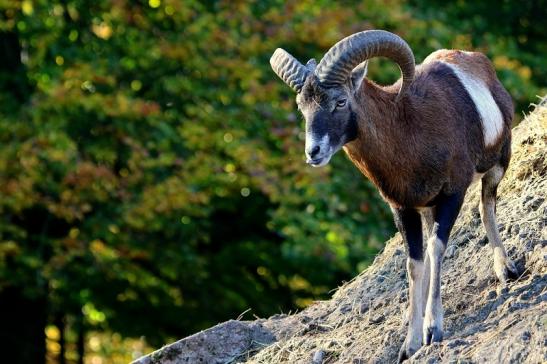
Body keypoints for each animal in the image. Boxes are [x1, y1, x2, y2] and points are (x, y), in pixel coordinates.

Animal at [270, 29, 520, 362]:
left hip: (496, 166)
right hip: (427, 209)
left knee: (486, 206)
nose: (314, 152)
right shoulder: (404, 209)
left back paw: (506, 271)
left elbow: (437, 249)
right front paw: (410, 344)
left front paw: (433, 331)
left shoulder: (452, 195)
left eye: (340, 101)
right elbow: (415, 264)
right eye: (303, 107)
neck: (411, 134)